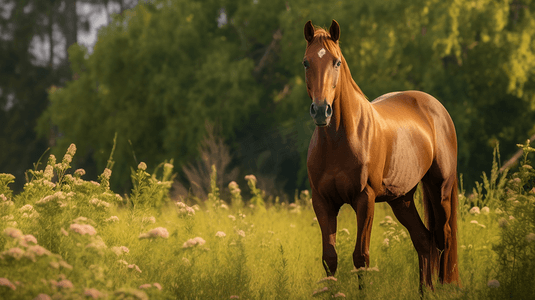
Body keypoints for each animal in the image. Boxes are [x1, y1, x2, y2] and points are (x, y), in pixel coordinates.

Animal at [306, 19, 460, 290]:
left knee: (444, 239)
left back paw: (443, 288)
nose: (321, 110)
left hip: (439, 190)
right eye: (306, 62)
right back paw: (426, 291)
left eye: (336, 61)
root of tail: (437, 109)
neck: (338, 141)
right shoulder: (322, 202)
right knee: (424, 241)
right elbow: (330, 259)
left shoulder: (364, 199)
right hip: (401, 199)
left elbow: (361, 258)